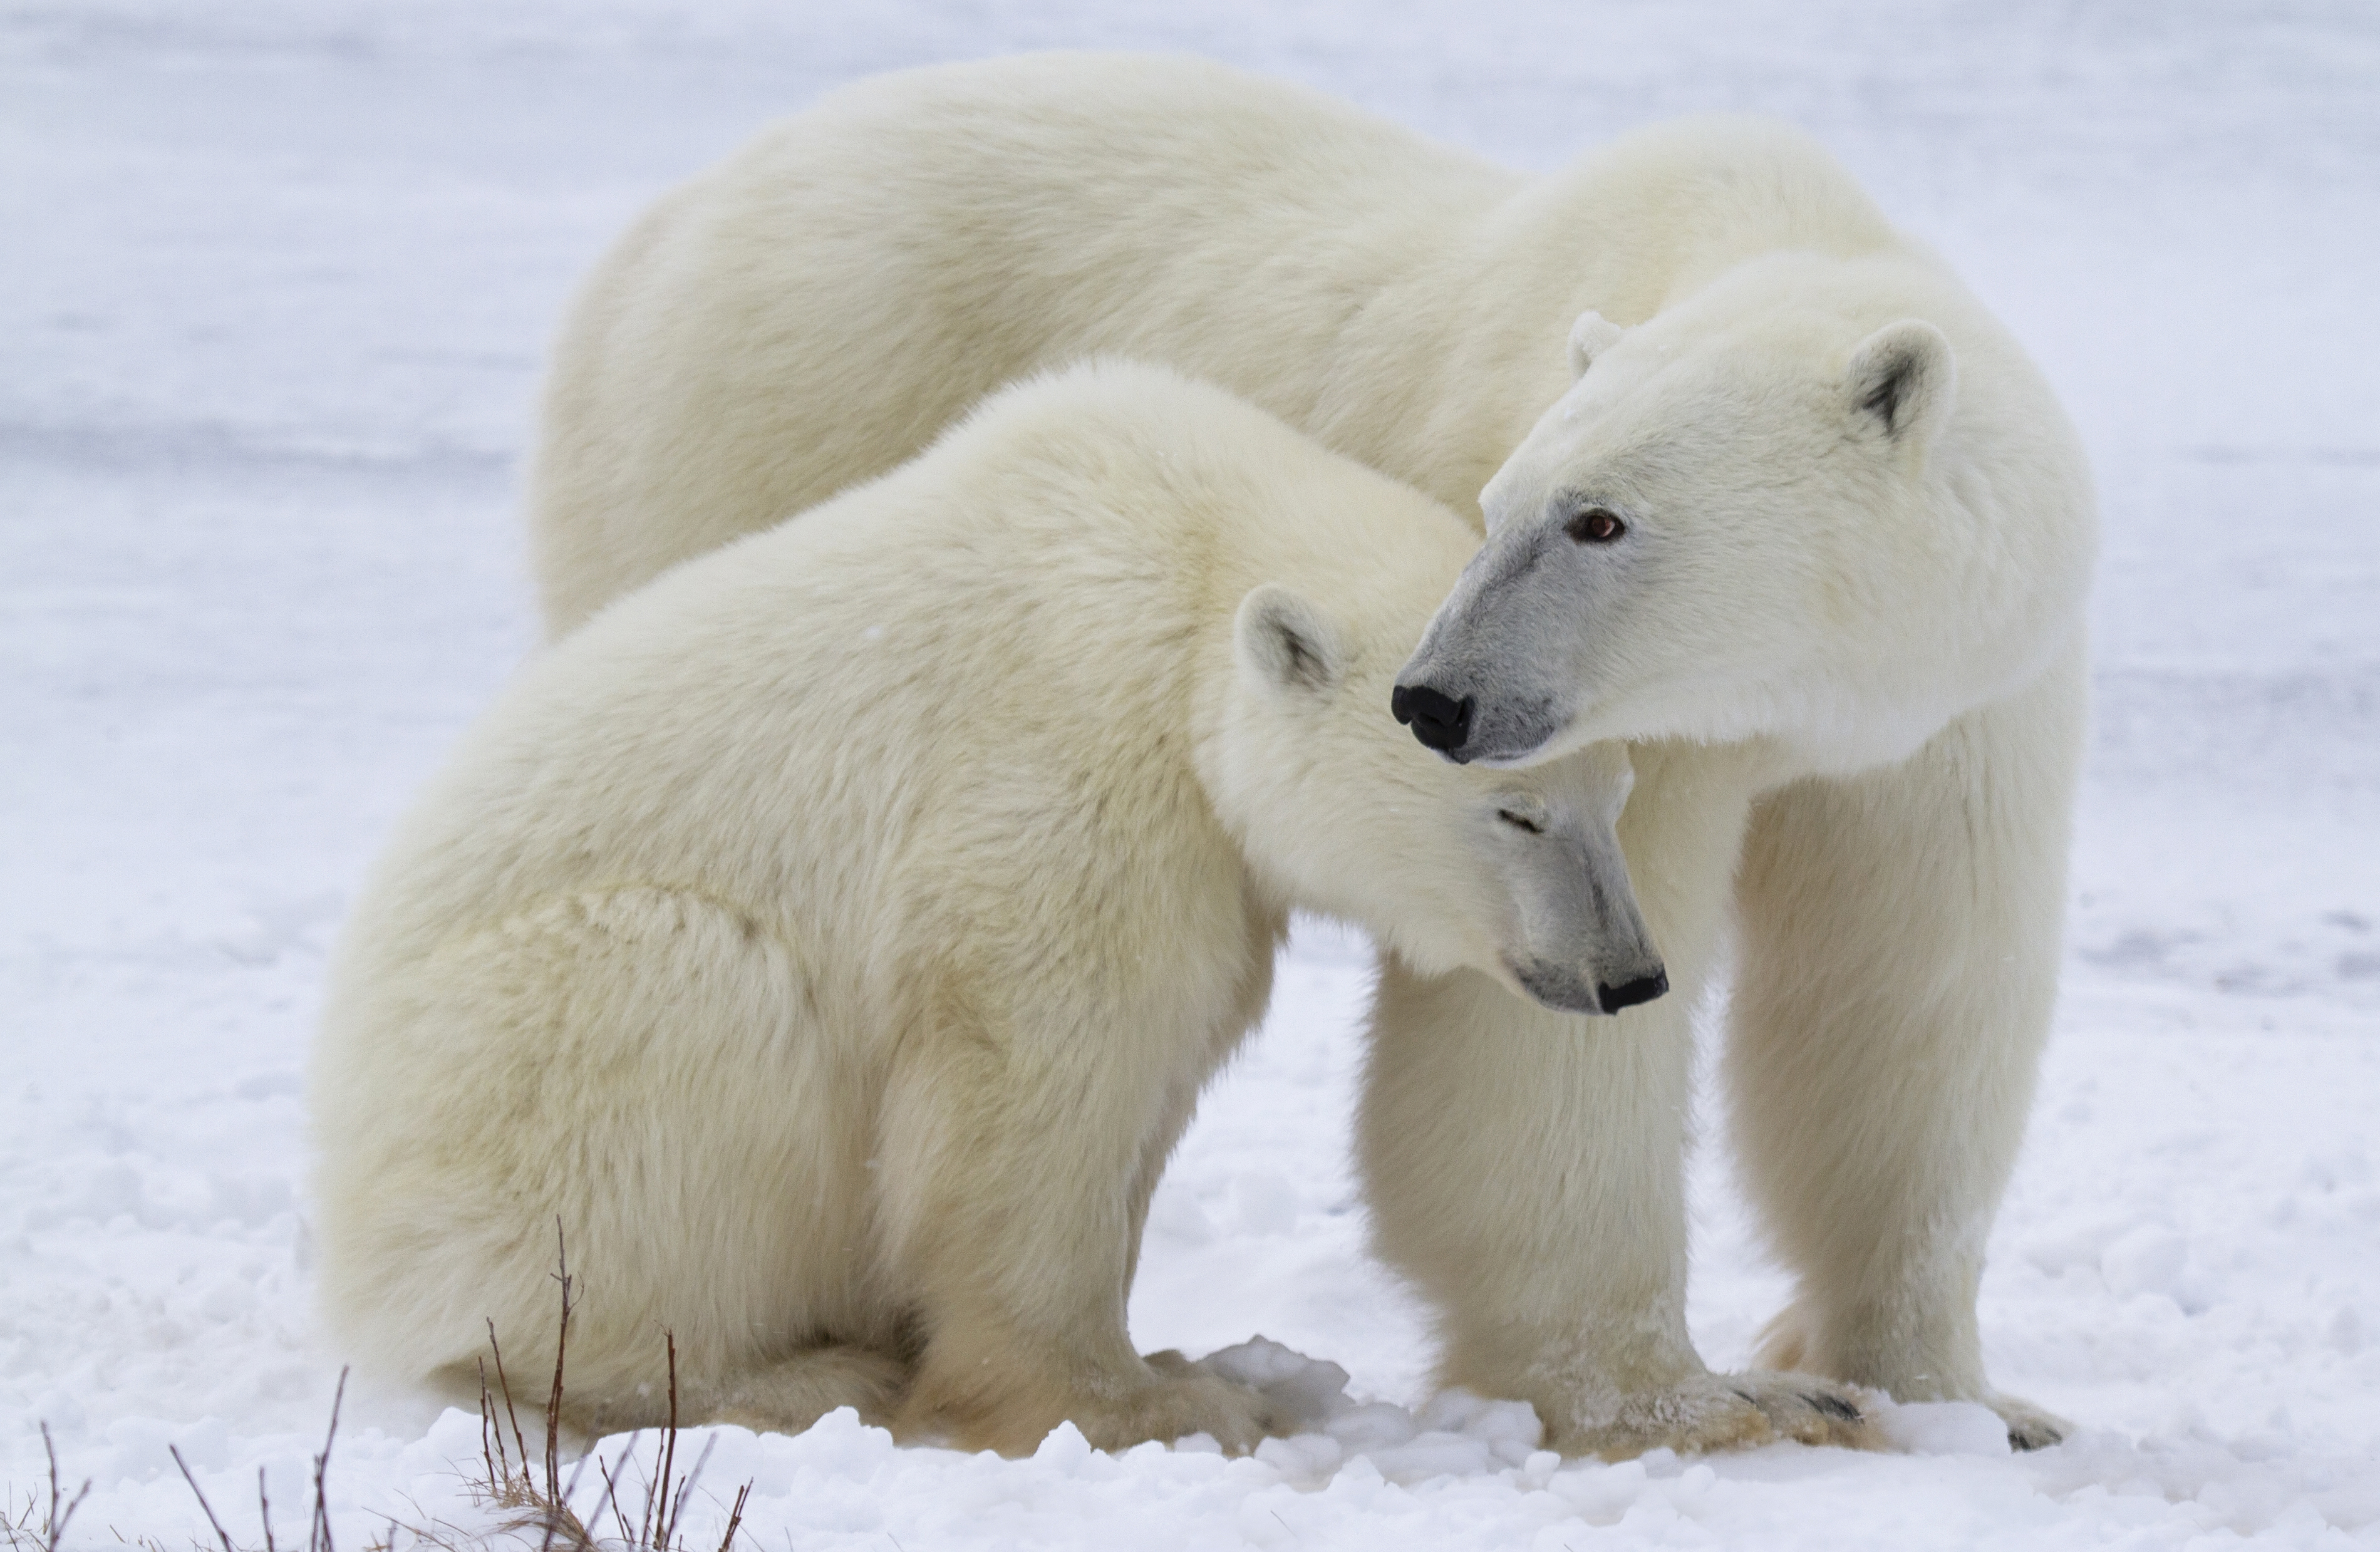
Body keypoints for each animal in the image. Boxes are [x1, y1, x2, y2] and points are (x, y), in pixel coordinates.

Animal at [310, 361, 1668, 1459]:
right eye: (1515, 812)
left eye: (1614, 793)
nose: (1630, 974)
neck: (1188, 563)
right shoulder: (1059, 770)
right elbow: (1038, 1090)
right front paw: (1149, 1401)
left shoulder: (1205, 865)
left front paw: (1188, 1361)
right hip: (516, 1069)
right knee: (696, 1009)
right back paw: (789, 1373)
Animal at [519, 54, 2095, 1454]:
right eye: (1501, 501)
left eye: (1599, 521)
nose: (1436, 701)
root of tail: (660, 224)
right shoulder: (1625, 722)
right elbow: (1539, 1038)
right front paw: (1686, 1407)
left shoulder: (1957, 705)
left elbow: (1910, 994)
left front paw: (1959, 1397)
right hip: (772, 422)